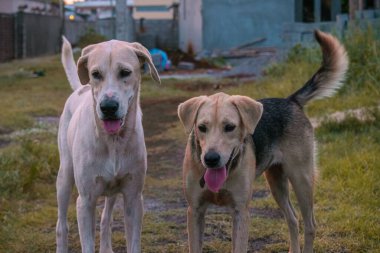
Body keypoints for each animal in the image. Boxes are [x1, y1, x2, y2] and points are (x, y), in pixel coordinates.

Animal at [55, 36, 160, 253]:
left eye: (125, 72)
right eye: (96, 74)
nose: (108, 107)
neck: (113, 142)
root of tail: (80, 88)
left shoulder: (134, 198)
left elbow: (133, 243)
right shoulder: (85, 201)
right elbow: (87, 244)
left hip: (112, 191)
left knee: (105, 219)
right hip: (65, 177)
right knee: (61, 225)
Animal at [177, 30, 348, 253]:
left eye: (230, 127)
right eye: (201, 127)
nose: (211, 159)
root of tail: (290, 101)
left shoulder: (241, 212)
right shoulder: (195, 211)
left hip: (301, 179)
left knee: (310, 225)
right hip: (276, 183)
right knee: (293, 219)